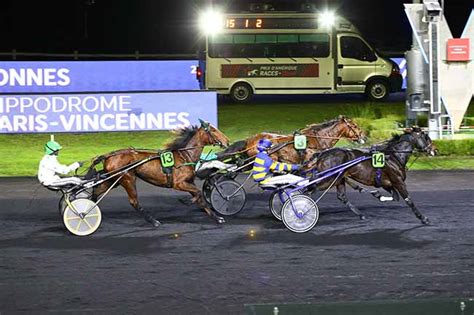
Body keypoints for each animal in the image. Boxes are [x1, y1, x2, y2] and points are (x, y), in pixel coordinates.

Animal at [89, 121, 231, 227]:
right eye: (213, 130)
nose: (227, 141)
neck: (184, 156)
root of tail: (109, 155)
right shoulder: (178, 184)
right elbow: (198, 193)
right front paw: (186, 201)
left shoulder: (189, 182)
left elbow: (199, 196)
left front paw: (217, 218)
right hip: (127, 178)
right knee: (134, 201)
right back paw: (154, 221)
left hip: (113, 180)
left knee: (96, 192)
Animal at [304, 128, 436, 225]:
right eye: (426, 137)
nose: (435, 150)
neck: (393, 156)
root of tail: (322, 154)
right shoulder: (398, 182)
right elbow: (409, 200)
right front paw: (423, 218)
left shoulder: (386, 183)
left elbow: (395, 197)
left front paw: (377, 195)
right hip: (328, 179)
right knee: (309, 189)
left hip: (338, 179)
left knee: (341, 196)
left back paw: (361, 215)